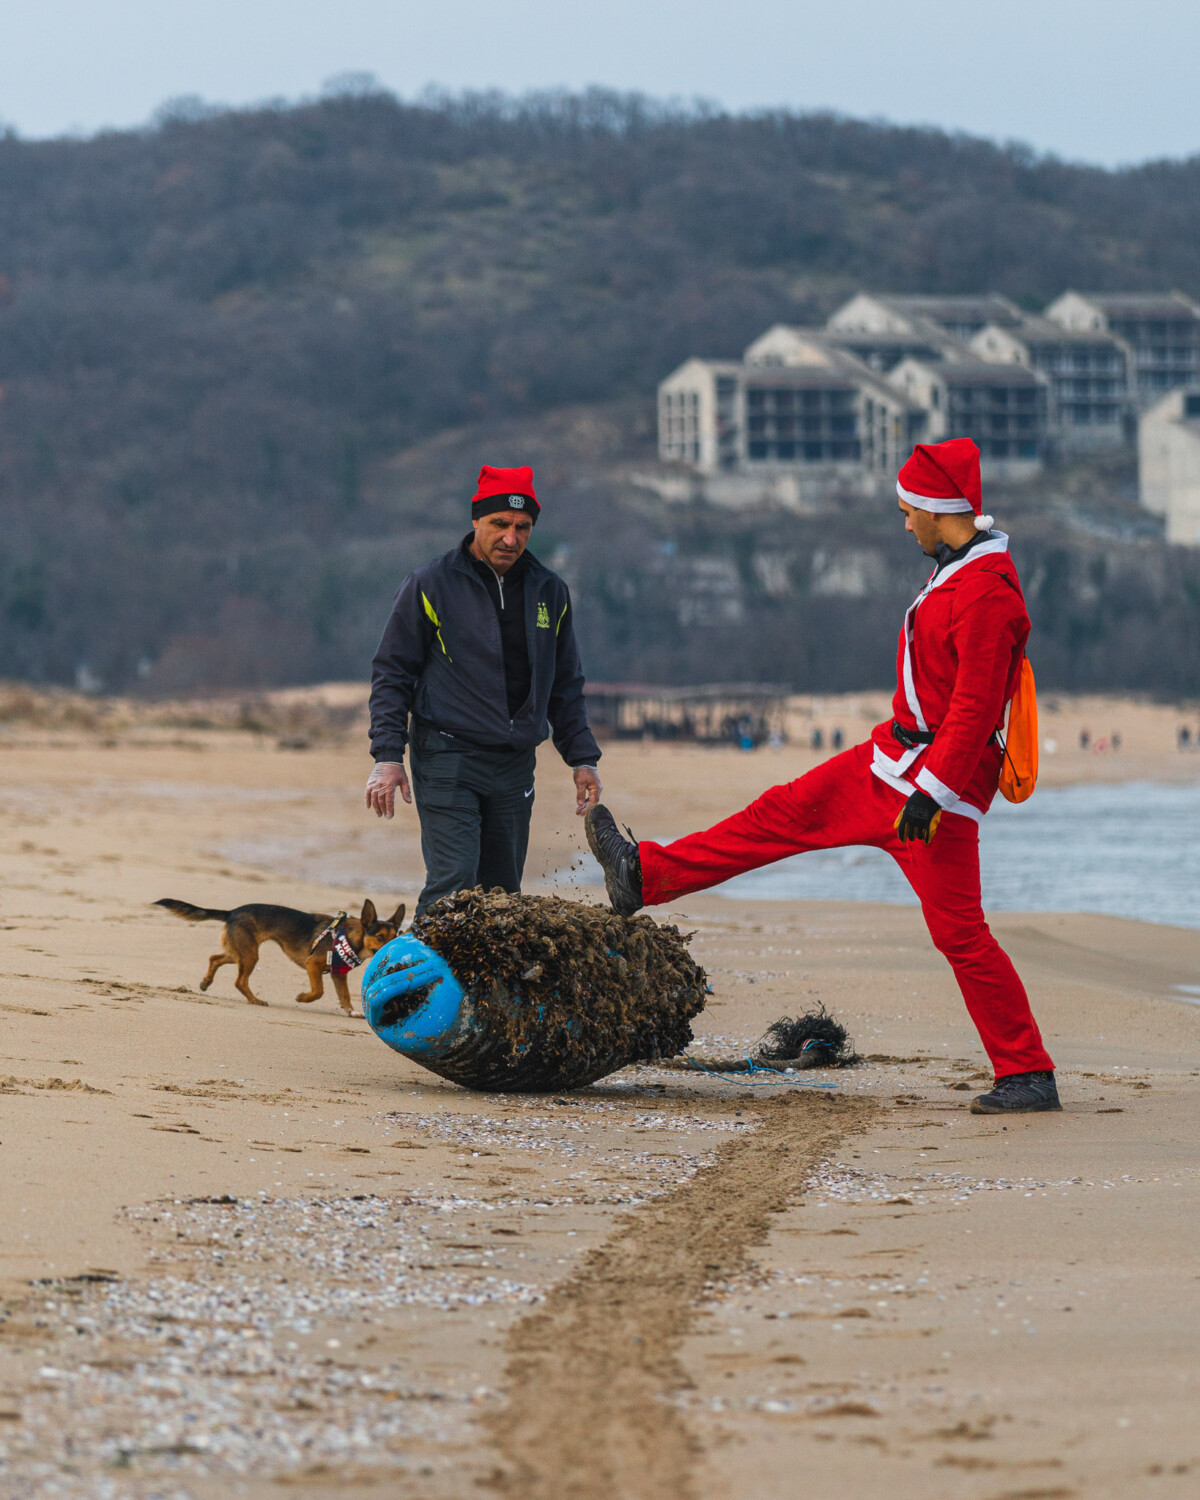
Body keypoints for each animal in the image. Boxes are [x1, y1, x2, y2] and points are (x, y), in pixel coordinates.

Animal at [154, 894, 405, 1014]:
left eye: (397, 934)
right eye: (380, 937)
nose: (394, 946)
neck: (351, 937)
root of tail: (232, 912)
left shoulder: (337, 974)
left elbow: (343, 996)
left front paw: (352, 1013)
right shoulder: (313, 964)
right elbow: (319, 991)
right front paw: (302, 998)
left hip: (240, 952)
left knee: (215, 958)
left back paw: (206, 982)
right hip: (250, 955)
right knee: (239, 981)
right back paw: (255, 1000)